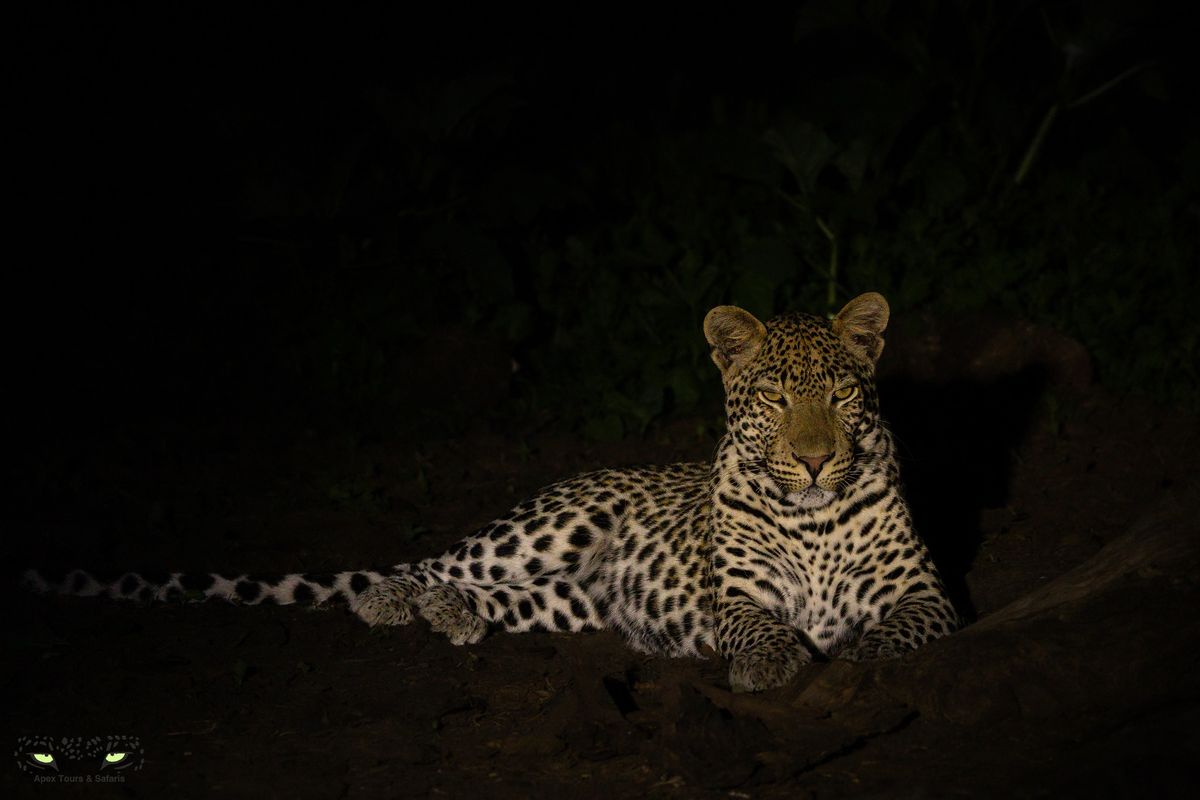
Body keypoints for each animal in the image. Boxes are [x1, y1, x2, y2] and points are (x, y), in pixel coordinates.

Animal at [25, 291, 955, 690]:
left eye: (841, 396)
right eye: (773, 398)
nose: (814, 460)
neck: (812, 518)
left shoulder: (929, 594)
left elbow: (901, 629)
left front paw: (859, 653)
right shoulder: (738, 599)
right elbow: (759, 626)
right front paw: (774, 661)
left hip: (571, 600)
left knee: (494, 595)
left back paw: (456, 617)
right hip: (551, 526)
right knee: (426, 563)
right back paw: (394, 601)